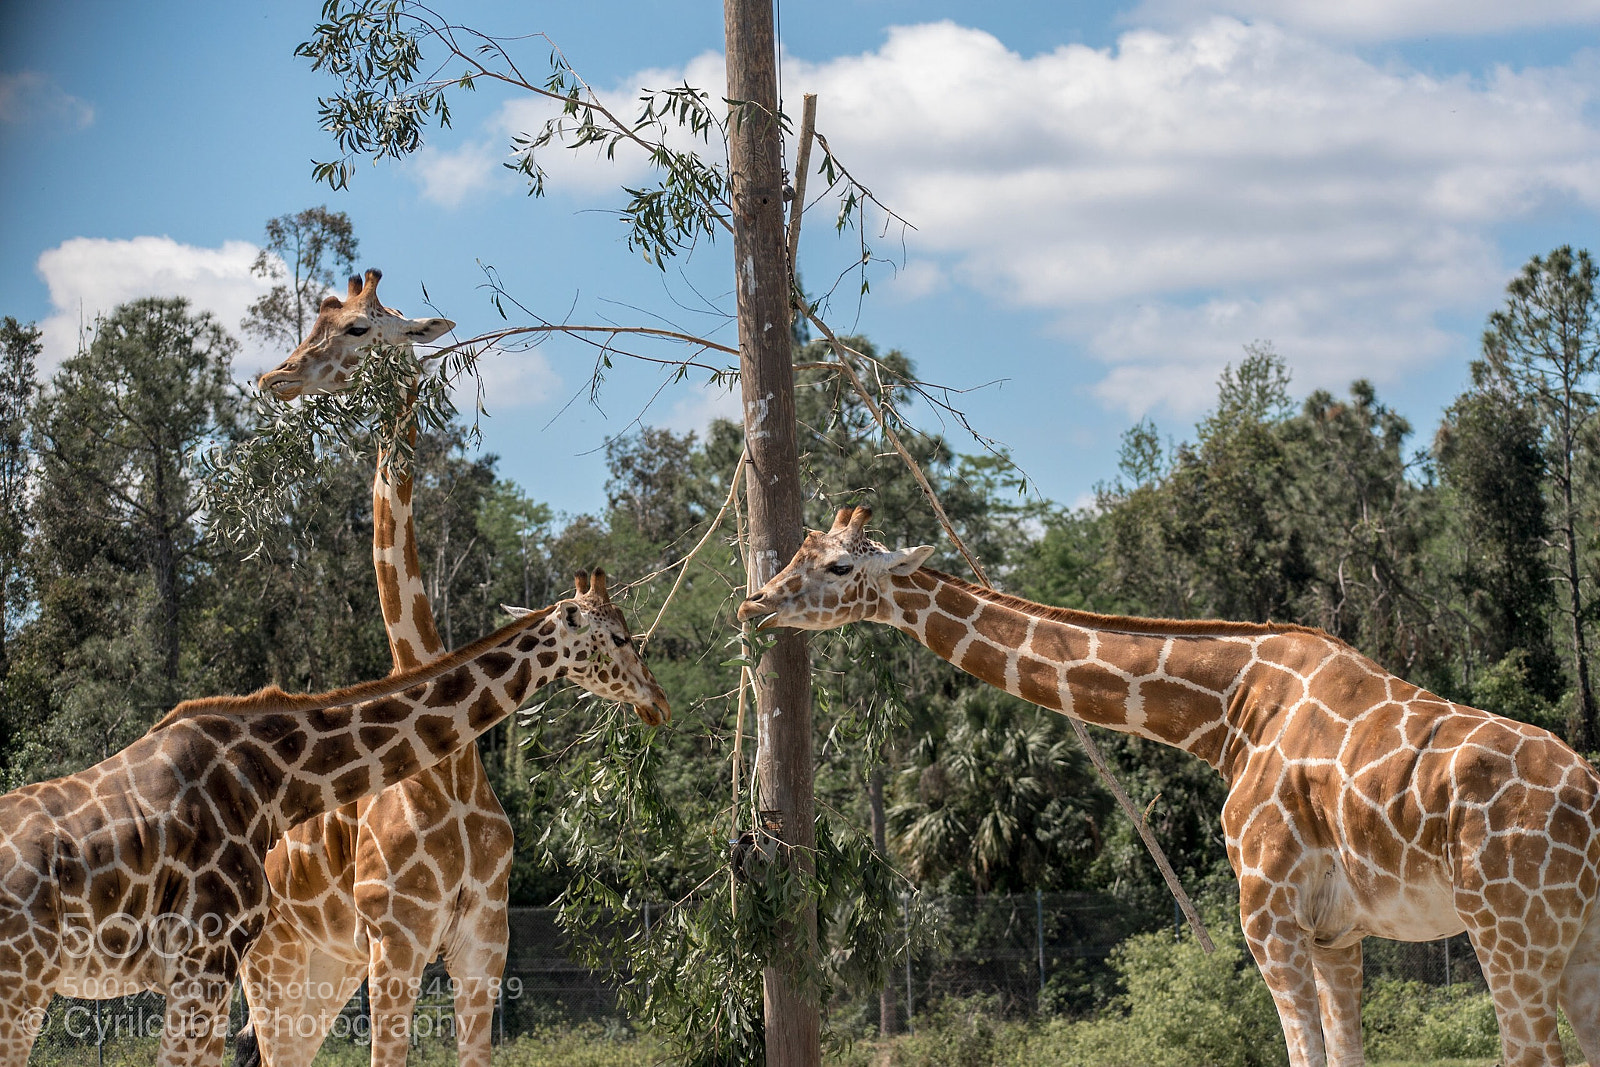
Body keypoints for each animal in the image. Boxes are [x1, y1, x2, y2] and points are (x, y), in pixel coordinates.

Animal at [0, 574, 670, 1067]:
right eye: (619, 638)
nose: (657, 701)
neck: (271, 778)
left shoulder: (207, 971)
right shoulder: (204, 961)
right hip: (23, 983)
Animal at [239, 268, 607, 1067]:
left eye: (357, 328)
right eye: (318, 321)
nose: (274, 377)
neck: (450, 770)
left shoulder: (483, 941)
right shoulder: (398, 940)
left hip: (324, 968)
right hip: (270, 959)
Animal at [738, 505, 1600, 1067]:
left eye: (838, 565)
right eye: (798, 551)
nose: (756, 601)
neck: (1230, 712)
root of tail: (1590, 796)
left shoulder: (1268, 912)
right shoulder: (1337, 931)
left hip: (1508, 930)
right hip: (1575, 936)